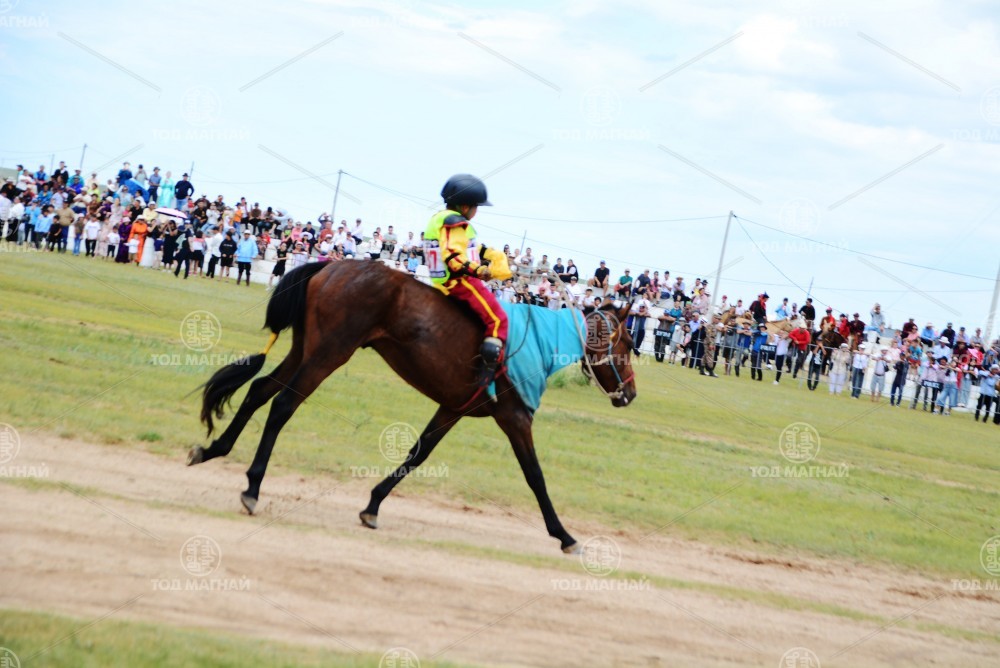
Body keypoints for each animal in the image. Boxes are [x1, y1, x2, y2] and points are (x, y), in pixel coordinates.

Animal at [187, 261, 638, 553]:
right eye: (631, 343)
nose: (631, 394)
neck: (536, 338)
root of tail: (331, 264)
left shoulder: (452, 408)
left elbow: (418, 453)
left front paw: (372, 505)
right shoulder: (514, 417)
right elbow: (536, 477)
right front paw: (564, 534)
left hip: (305, 348)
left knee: (259, 390)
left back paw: (214, 449)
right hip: (329, 353)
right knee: (283, 404)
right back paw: (252, 486)